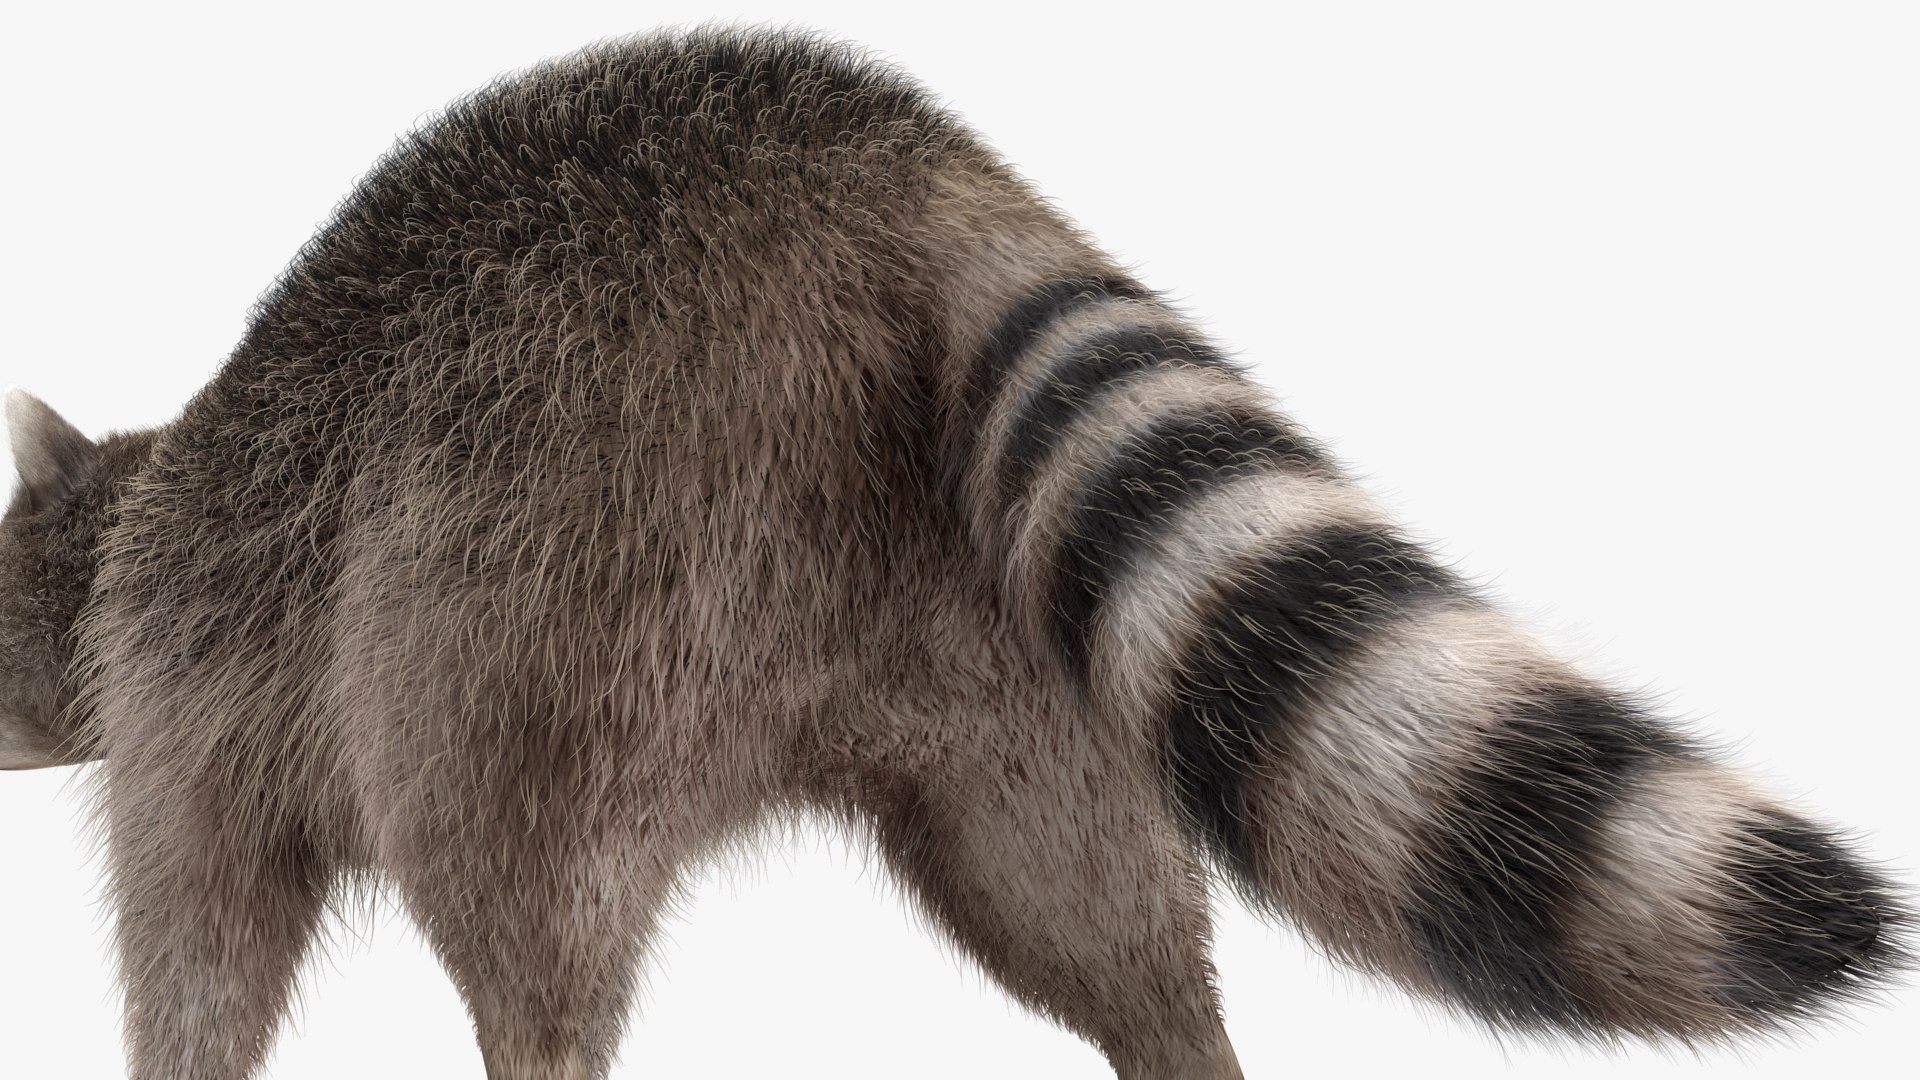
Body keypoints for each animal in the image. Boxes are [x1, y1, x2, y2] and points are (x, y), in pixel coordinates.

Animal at [0, 24, 1909, 1080]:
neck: (118, 506)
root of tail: (905, 186)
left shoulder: (190, 679)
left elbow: (200, 929)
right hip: (970, 613)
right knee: (1079, 892)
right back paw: (1182, 1043)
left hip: (549, 536)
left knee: (505, 860)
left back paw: (539, 1048)